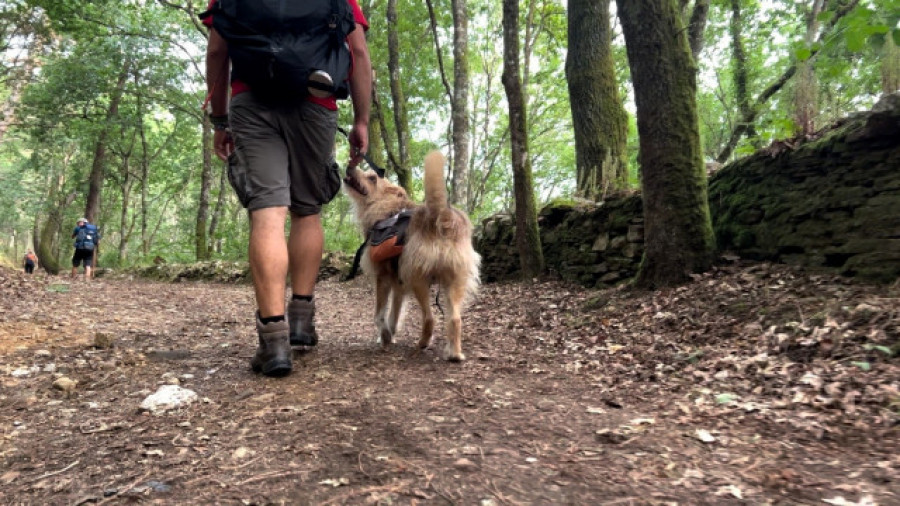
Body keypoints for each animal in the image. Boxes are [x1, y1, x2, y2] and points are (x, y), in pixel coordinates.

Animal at [344, 150, 482, 360]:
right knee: (455, 319)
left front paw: (385, 337)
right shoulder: (398, 285)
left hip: (418, 279)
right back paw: (454, 354)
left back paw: (422, 344)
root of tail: (441, 215)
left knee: (430, 318)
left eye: (372, 178)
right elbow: (394, 314)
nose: (349, 166)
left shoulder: (382, 278)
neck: (387, 209)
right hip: (455, 281)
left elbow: (379, 314)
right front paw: (390, 335)